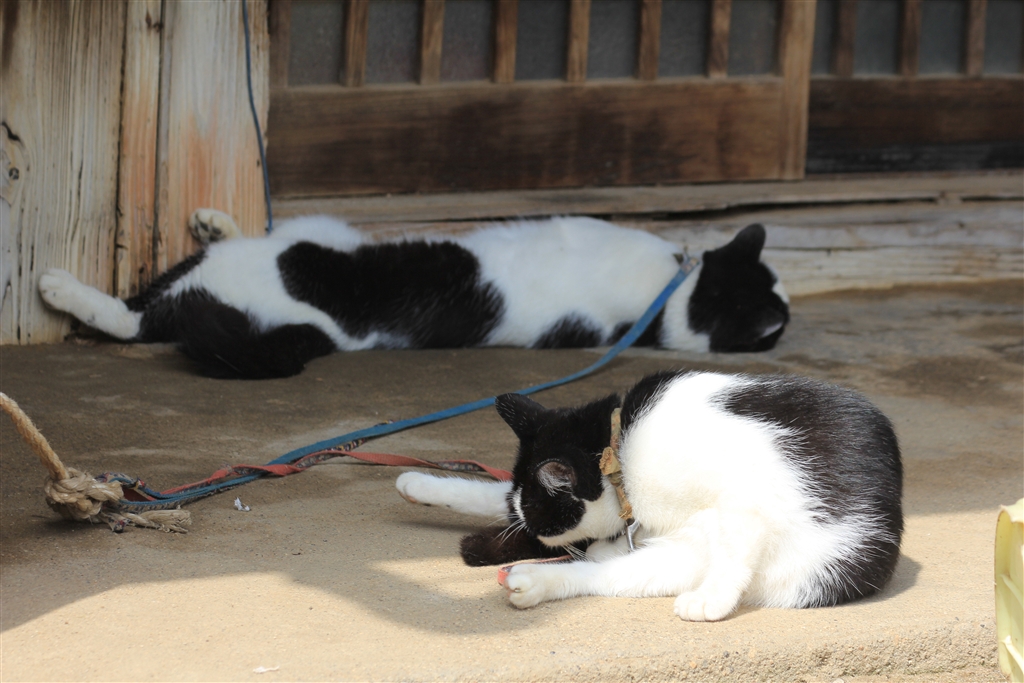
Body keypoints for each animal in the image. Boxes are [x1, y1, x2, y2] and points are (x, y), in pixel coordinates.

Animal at [396, 370, 903, 621]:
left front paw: (711, 601)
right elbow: (498, 491)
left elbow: (733, 551)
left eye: (542, 521)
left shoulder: (750, 498)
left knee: (620, 574)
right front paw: (422, 484)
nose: (533, 535)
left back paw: (540, 579)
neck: (622, 455)